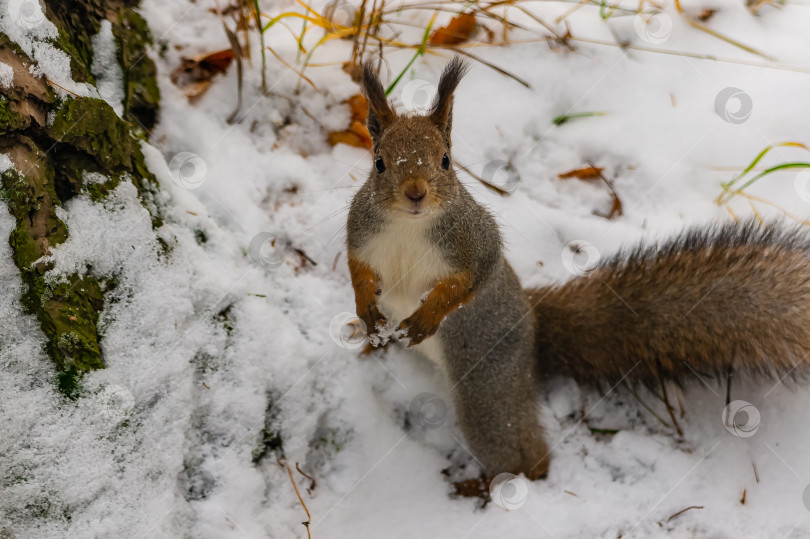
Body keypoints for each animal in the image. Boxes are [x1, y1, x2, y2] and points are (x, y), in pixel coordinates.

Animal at [342, 58, 808, 480]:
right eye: (379, 161)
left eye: (445, 160)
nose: (415, 193)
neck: (409, 225)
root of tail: (533, 323)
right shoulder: (360, 235)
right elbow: (358, 270)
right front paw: (365, 309)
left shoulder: (474, 242)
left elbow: (470, 280)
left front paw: (426, 317)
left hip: (489, 377)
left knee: (513, 444)